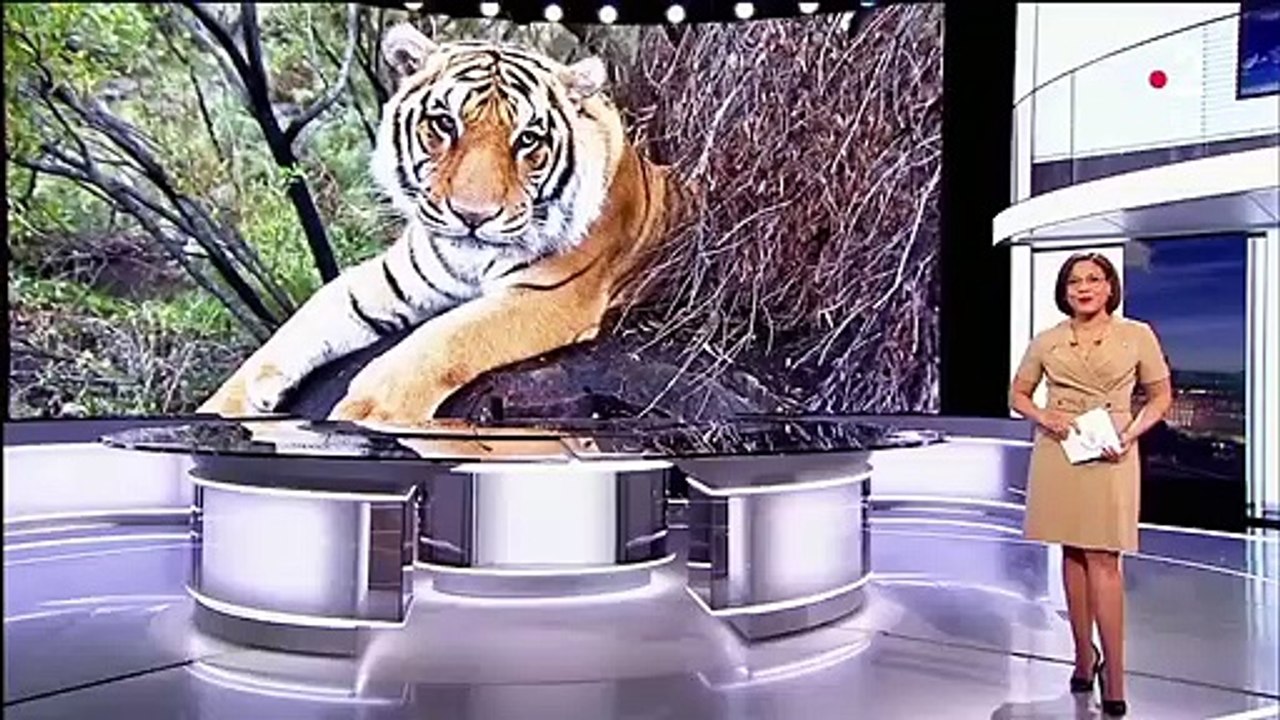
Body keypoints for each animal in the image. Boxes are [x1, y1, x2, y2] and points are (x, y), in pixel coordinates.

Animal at [198, 22, 678, 427]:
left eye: (527, 140)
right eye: (445, 123)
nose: (472, 216)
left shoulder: (550, 294)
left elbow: (448, 336)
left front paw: (369, 410)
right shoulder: (393, 274)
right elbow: (304, 320)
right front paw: (224, 405)